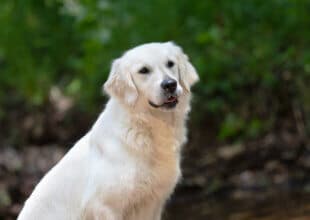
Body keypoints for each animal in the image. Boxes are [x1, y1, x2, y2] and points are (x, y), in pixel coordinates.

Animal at [17, 41, 199, 220]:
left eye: (170, 63)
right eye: (143, 70)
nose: (170, 84)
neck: (146, 127)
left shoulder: (153, 203)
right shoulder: (103, 205)